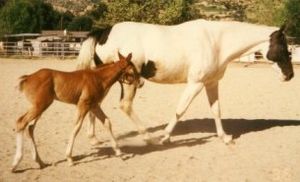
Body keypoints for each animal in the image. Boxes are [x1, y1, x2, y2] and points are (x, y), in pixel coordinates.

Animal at [11, 52, 139, 171]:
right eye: (132, 70)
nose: (139, 83)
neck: (98, 78)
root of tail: (28, 78)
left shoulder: (94, 106)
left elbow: (107, 122)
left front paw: (119, 152)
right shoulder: (83, 105)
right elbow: (76, 127)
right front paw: (69, 158)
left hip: (39, 107)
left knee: (30, 127)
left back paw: (40, 162)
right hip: (40, 106)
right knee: (21, 122)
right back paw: (15, 164)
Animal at [76, 19, 294, 145]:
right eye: (284, 48)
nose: (290, 75)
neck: (216, 41)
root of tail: (104, 32)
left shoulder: (211, 83)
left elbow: (216, 110)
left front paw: (225, 138)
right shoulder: (195, 84)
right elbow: (180, 110)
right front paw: (165, 137)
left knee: (95, 105)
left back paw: (93, 139)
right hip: (128, 82)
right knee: (125, 105)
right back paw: (149, 137)